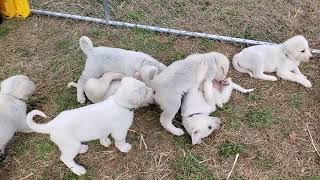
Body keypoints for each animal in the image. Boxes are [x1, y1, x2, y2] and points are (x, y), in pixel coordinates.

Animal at [26, 77, 154, 176]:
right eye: (145, 92)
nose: (153, 91)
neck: (119, 103)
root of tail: (52, 124)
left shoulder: (105, 129)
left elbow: (103, 136)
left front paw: (105, 142)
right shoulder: (120, 131)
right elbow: (120, 141)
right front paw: (124, 148)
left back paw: (82, 148)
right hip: (70, 145)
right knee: (65, 158)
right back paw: (78, 170)